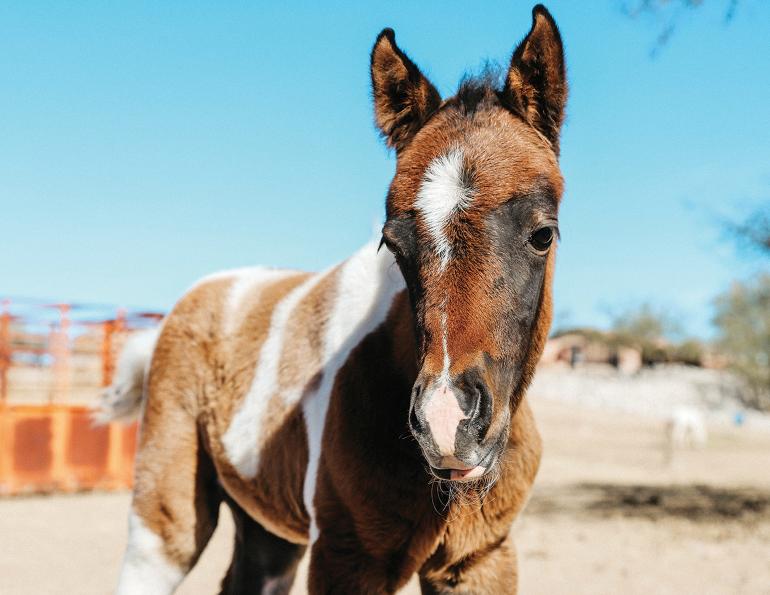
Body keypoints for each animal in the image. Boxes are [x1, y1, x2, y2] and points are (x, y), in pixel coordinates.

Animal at [104, 5, 568, 593]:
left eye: (543, 234)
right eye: (393, 243)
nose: (447, 422)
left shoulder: (481, 557)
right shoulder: (346, 558)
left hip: (269, 527)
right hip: (165, 516)